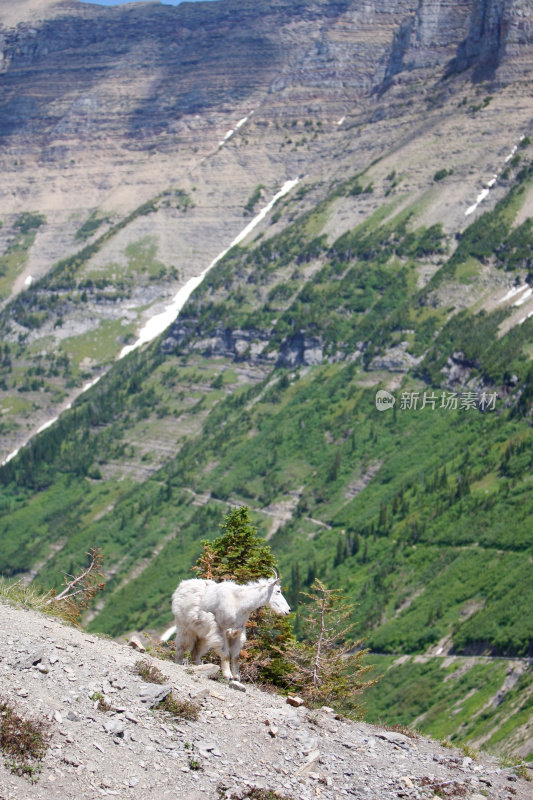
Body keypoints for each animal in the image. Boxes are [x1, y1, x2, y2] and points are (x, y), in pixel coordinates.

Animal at [160, 572, 288, 680]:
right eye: (278, 591)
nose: (288, 610)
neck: (239, 603)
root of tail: (181, 587)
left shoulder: (237, 632)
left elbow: (235, 656)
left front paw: (237, 677)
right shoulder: (222, 630)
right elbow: (226, 654)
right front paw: (228, 676)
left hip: (202, 634)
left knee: (195, 652)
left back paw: (201, 667)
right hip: (184, 626)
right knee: (181, 646)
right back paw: (179, 662)